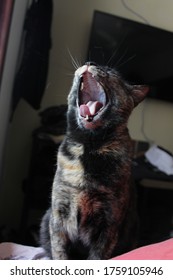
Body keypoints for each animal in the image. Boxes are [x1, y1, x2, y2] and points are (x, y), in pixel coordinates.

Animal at [39, 62, 148, 260]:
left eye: (111, 72)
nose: (91, 63)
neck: (90, 148)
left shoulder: (109, 222)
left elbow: (97, 256)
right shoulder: (59, 214)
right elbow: (59, 252)